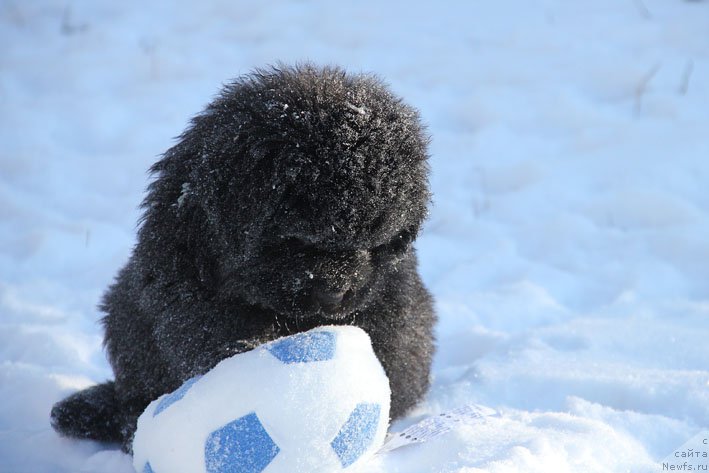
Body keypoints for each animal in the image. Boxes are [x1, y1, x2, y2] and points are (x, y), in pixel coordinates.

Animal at [49, 62, 434, 450]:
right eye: (297, 240)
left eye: (374, 243)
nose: (336, 294)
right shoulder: (184, 277)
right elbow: (208, 332)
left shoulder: (388, 294)